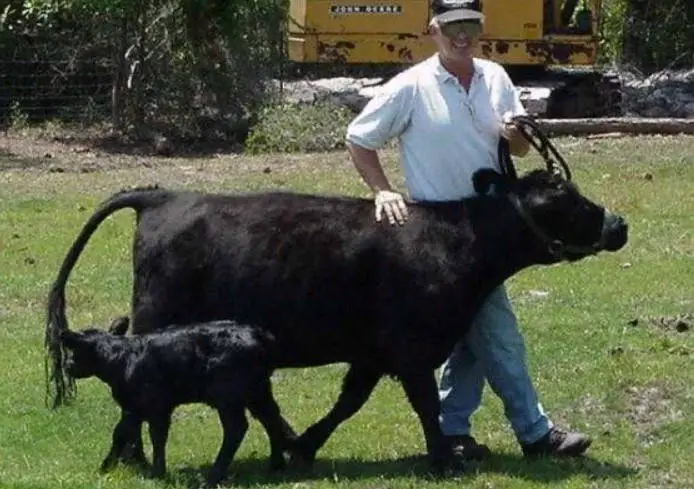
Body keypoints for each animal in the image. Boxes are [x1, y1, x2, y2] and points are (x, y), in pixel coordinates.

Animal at [60, 319, 295, 486]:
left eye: (74, 352)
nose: (67, 366)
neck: (123, 359)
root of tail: (261, 335)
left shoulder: (157, 406)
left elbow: (157, 436)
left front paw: (157, 472)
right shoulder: (134, 407)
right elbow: (120, 433)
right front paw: (105, 468)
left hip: (229, 395)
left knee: (236, 428)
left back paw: (214, 476)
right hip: (258, 390)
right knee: (271, 418)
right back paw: (276, 465)